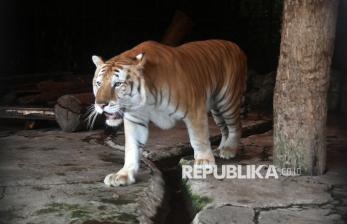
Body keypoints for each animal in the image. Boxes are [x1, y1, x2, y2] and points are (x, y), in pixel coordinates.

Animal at [89, 39, 247, 186]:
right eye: (98, 83)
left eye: (117, 84)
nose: (100, 104)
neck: (147, 98)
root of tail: (235, 45)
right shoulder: (135, 119)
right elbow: (131, 147)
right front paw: (124, 174)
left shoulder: (194, 110)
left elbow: (198, 138)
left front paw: (204, 162)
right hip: (216, 109)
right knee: (225, 129)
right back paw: (221, 149)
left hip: (227, 100)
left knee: (236, 126)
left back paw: (228, 150)